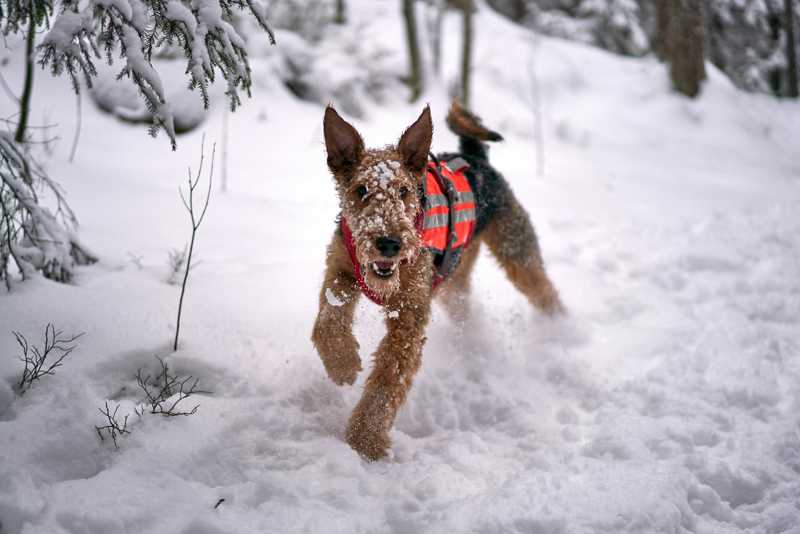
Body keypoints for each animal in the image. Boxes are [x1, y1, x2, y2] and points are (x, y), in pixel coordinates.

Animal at [310, 100, 564, 460]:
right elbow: (327, 321)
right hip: (452, 282)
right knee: (466, 306)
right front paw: (343, 364)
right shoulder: (341, 269)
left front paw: (364, 442)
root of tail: (475, 157)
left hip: (517, 252)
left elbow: (387, 380)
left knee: (546, 292)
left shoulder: (409, 317)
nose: (389, 243)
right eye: (361, 190)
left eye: (404, 190)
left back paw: (562, 334)